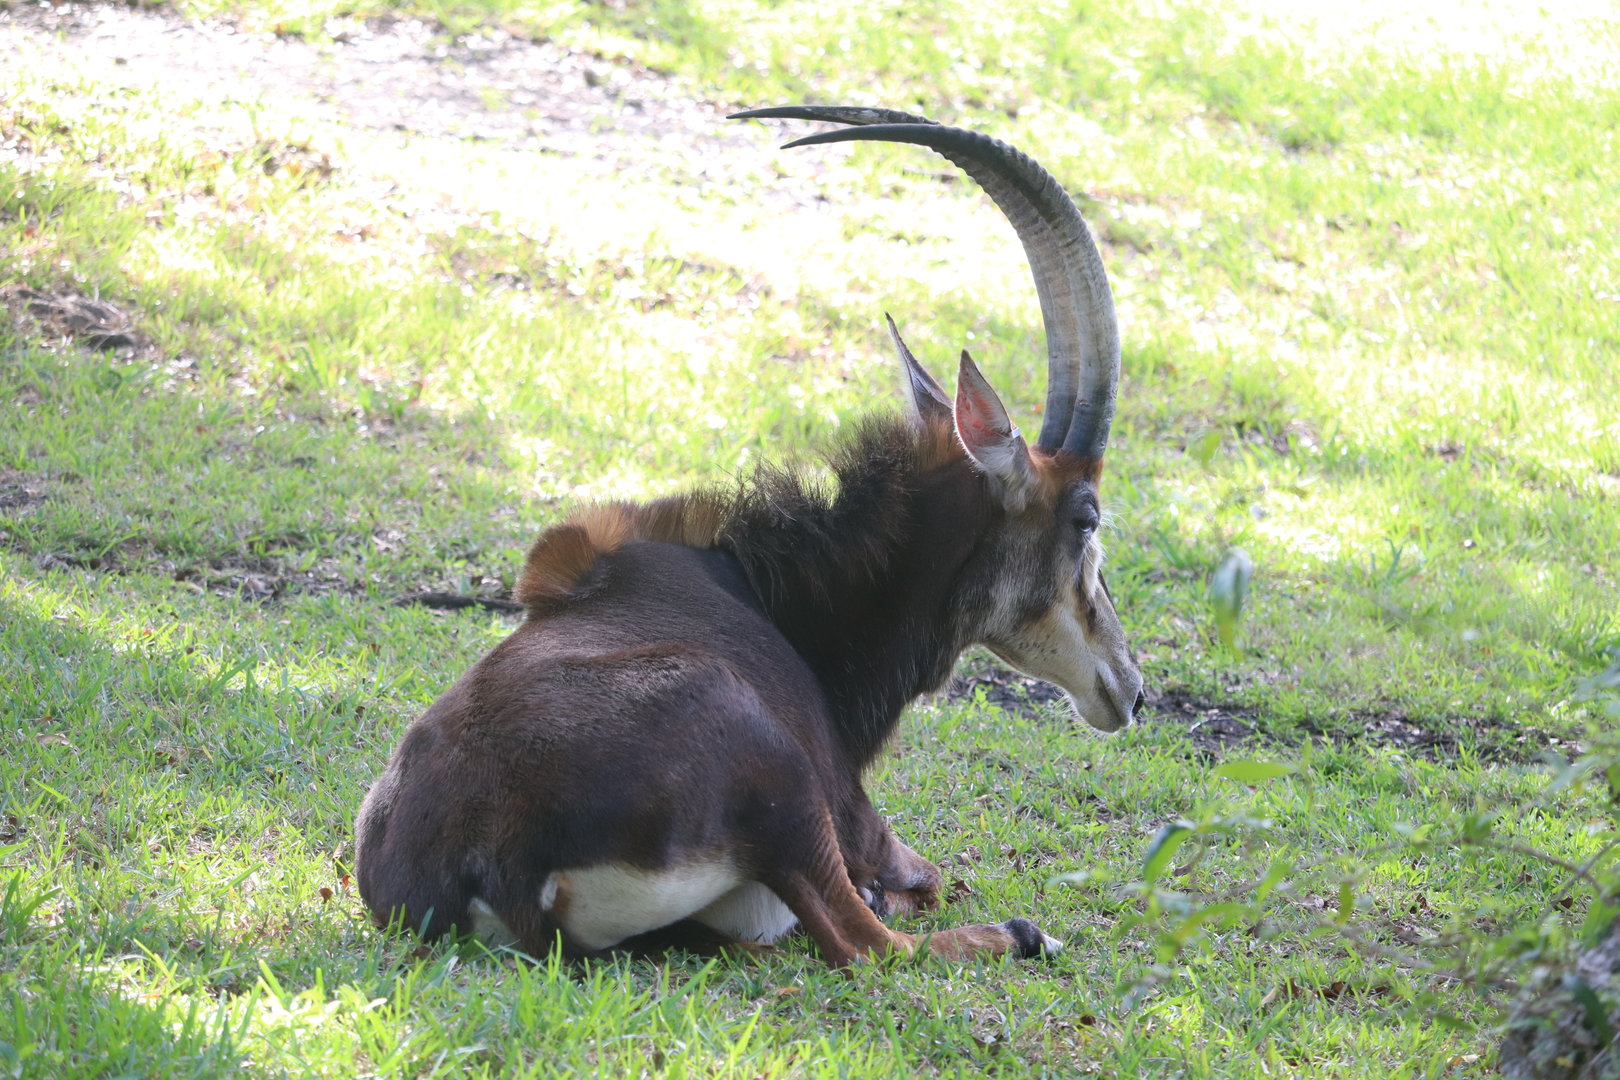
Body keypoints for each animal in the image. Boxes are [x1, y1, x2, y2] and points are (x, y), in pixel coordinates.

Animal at [355, 105, 1144, 967]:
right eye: (1086, 519)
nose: (1131, 689)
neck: (779, 599)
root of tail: (489, 862)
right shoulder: (857, 818)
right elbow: (924, 879)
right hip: (784, 784)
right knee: (866, 944)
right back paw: (1018, 933)